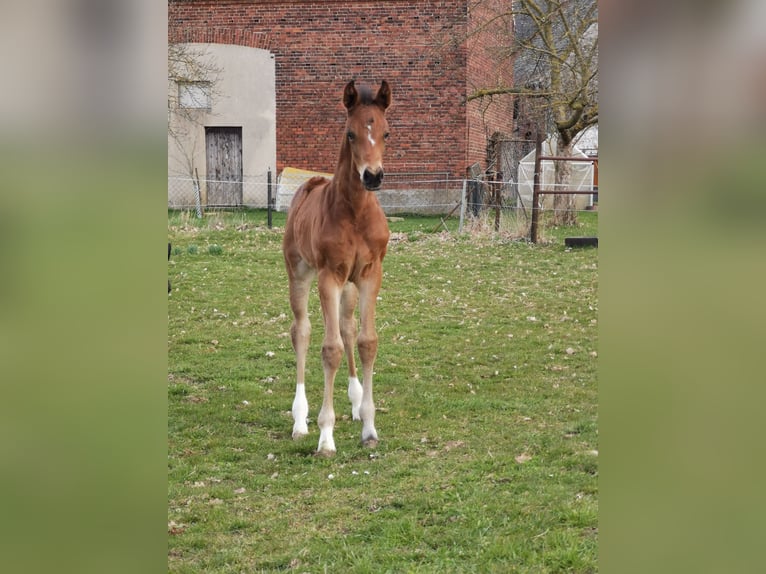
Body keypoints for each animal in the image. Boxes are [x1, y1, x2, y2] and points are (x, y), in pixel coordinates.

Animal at [282, 79, 392, 456]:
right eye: (350, 133)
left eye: (386, 132)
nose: (372, 176)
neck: (355, 212)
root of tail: (311, 182)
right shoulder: (328, 276)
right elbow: (330, 350)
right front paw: (325, 436)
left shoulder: (370, 274)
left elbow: (366, 341)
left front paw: (370, 427)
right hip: (300, 274)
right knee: (301, 331)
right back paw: (300, 420)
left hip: (348, 287)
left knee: (347, 327)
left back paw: (356, 402)